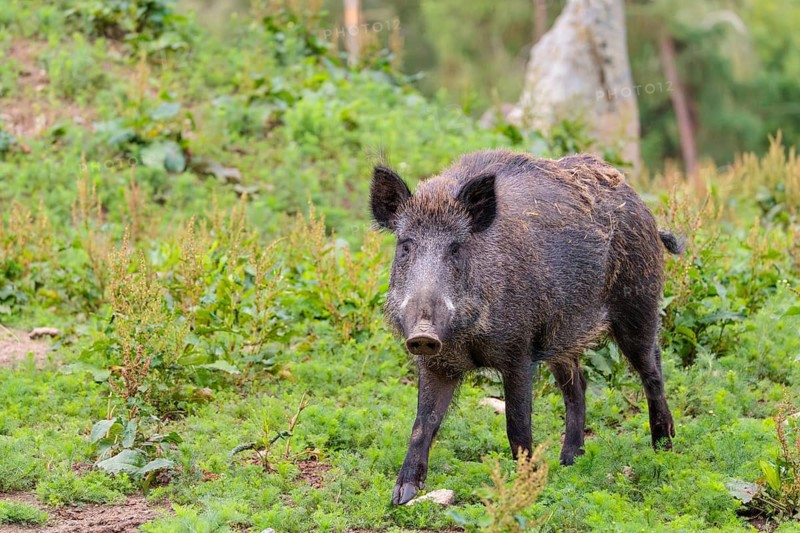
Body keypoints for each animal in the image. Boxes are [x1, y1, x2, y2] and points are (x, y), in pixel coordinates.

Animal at [370, 150, 683, 505]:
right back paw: (569, 460)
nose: (423, 333)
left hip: (639, 306)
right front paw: (402, 495)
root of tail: (644, 209)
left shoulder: (518, 352)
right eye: (405, 246)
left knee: (652, 370)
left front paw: (526, 489)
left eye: (456, 248)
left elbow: (517, 424)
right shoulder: (438, 362)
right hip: (562, 336)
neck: (468, 339)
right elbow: (424, 421)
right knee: (578, 386)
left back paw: (663, 449)